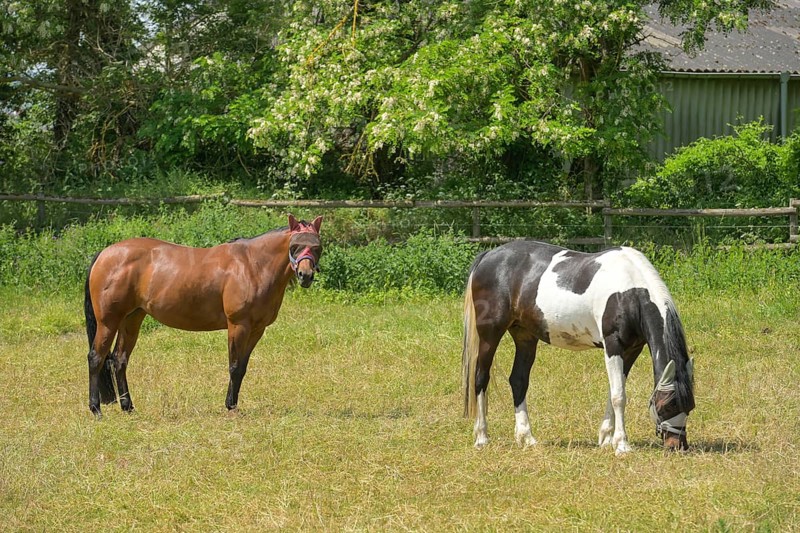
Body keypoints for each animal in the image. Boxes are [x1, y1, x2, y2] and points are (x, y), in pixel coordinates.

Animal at [84, 214, 323, 418]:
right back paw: (96, 409)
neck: (252, 265)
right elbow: (234, 366)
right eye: (295, 246)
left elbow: (242, 368)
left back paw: (128, 407)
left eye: (317, 247)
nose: (305, 275)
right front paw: (231, 407)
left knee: (119, 360)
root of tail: (105, 253)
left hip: (131, 319)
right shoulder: (238, 325)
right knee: (96, 358)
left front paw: (233, 404)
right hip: (108, 321)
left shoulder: (257, 329)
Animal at [461, 241, 695, 454]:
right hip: (490, 334)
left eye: (691, 406)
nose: (678, 447)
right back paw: (482, 437)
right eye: (669, 405)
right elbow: (619, 396)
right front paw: (621, 445)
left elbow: (614, 391)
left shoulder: (632, 350)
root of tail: (488, 255)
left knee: (518, 381)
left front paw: (606, 438)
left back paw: (527, 437)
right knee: (480, 378)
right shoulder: (613, 346)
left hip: (525, 337)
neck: (630, 291)